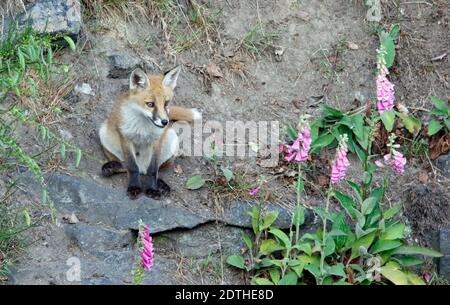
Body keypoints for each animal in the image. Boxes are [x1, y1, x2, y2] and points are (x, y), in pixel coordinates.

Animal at [100, 66, 204, 198]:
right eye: (150, 104)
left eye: (166, 103)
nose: (165, 122)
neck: (143, 127)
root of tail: (142, 167)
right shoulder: (126, 137)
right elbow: (132, 167)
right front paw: (134, 187)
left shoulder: (157, 141)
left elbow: (153, 169)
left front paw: (152, 189)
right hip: (104, 133)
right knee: (128, 165)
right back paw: (112, 167)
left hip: (172, 140)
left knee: (157, 168)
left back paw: (160, 184)